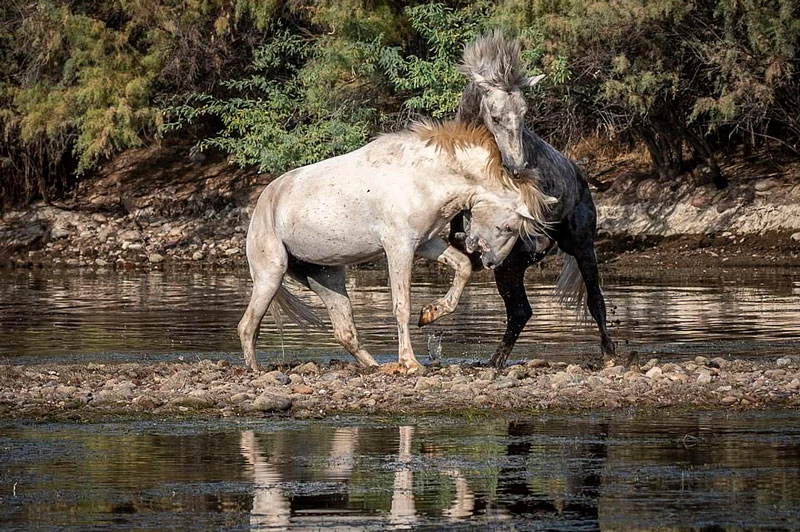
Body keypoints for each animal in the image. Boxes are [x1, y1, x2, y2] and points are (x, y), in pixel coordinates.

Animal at [238, 120, 552, 372]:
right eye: (510, 226)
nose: (491, 262)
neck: (423, 177)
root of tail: (265, 200)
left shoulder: (425, 243)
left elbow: (462, 266)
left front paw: (431, 313)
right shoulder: (399, 247)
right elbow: (402, 306)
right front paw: (410, 362)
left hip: (326, 278)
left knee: (344, 331)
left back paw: (375, 366)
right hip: (271, 275)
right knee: (247, 326)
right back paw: (255, 370)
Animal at [446, 31, 616, 368]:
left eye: (524, 113)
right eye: (495, 116)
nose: (516, 166)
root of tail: (581, 178)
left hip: (580, 247)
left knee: (595, 300)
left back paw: (610, 354)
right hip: (513, 266)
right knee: (520, 311)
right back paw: (495, 361)